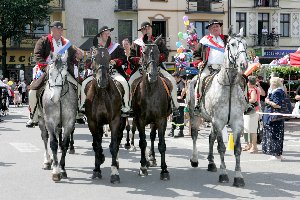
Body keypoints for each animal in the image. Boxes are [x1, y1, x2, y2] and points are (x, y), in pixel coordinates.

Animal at [37, 52, 77, 182]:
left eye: (65, 74)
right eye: (50, 73)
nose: (54, 98)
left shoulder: (69, 122)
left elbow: (64, 144)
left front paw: (62, 169)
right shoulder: (50, 121)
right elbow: (53, 143)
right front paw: (55, 171)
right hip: (41, 119)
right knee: (45, 138)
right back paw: (47, 161)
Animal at [84, 46, 125, 183]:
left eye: (109, 58)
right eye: (93, 58)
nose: (102, 81)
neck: (102, 93)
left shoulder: (115, 121)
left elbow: (113, 146)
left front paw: (114, 173)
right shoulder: (92, 122)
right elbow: (96, 145)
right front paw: (96, 170)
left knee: (117, 140)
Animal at [131, 35, 171, 180]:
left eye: (159, 53)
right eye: (143, 52)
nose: (152, 75)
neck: (151, 91)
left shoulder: (161, 119)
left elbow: (162, 144)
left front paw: (164, 170)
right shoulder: (140, 120)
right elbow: (142, 142)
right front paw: (143, 166)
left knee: (153, 137)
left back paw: (152, 158)